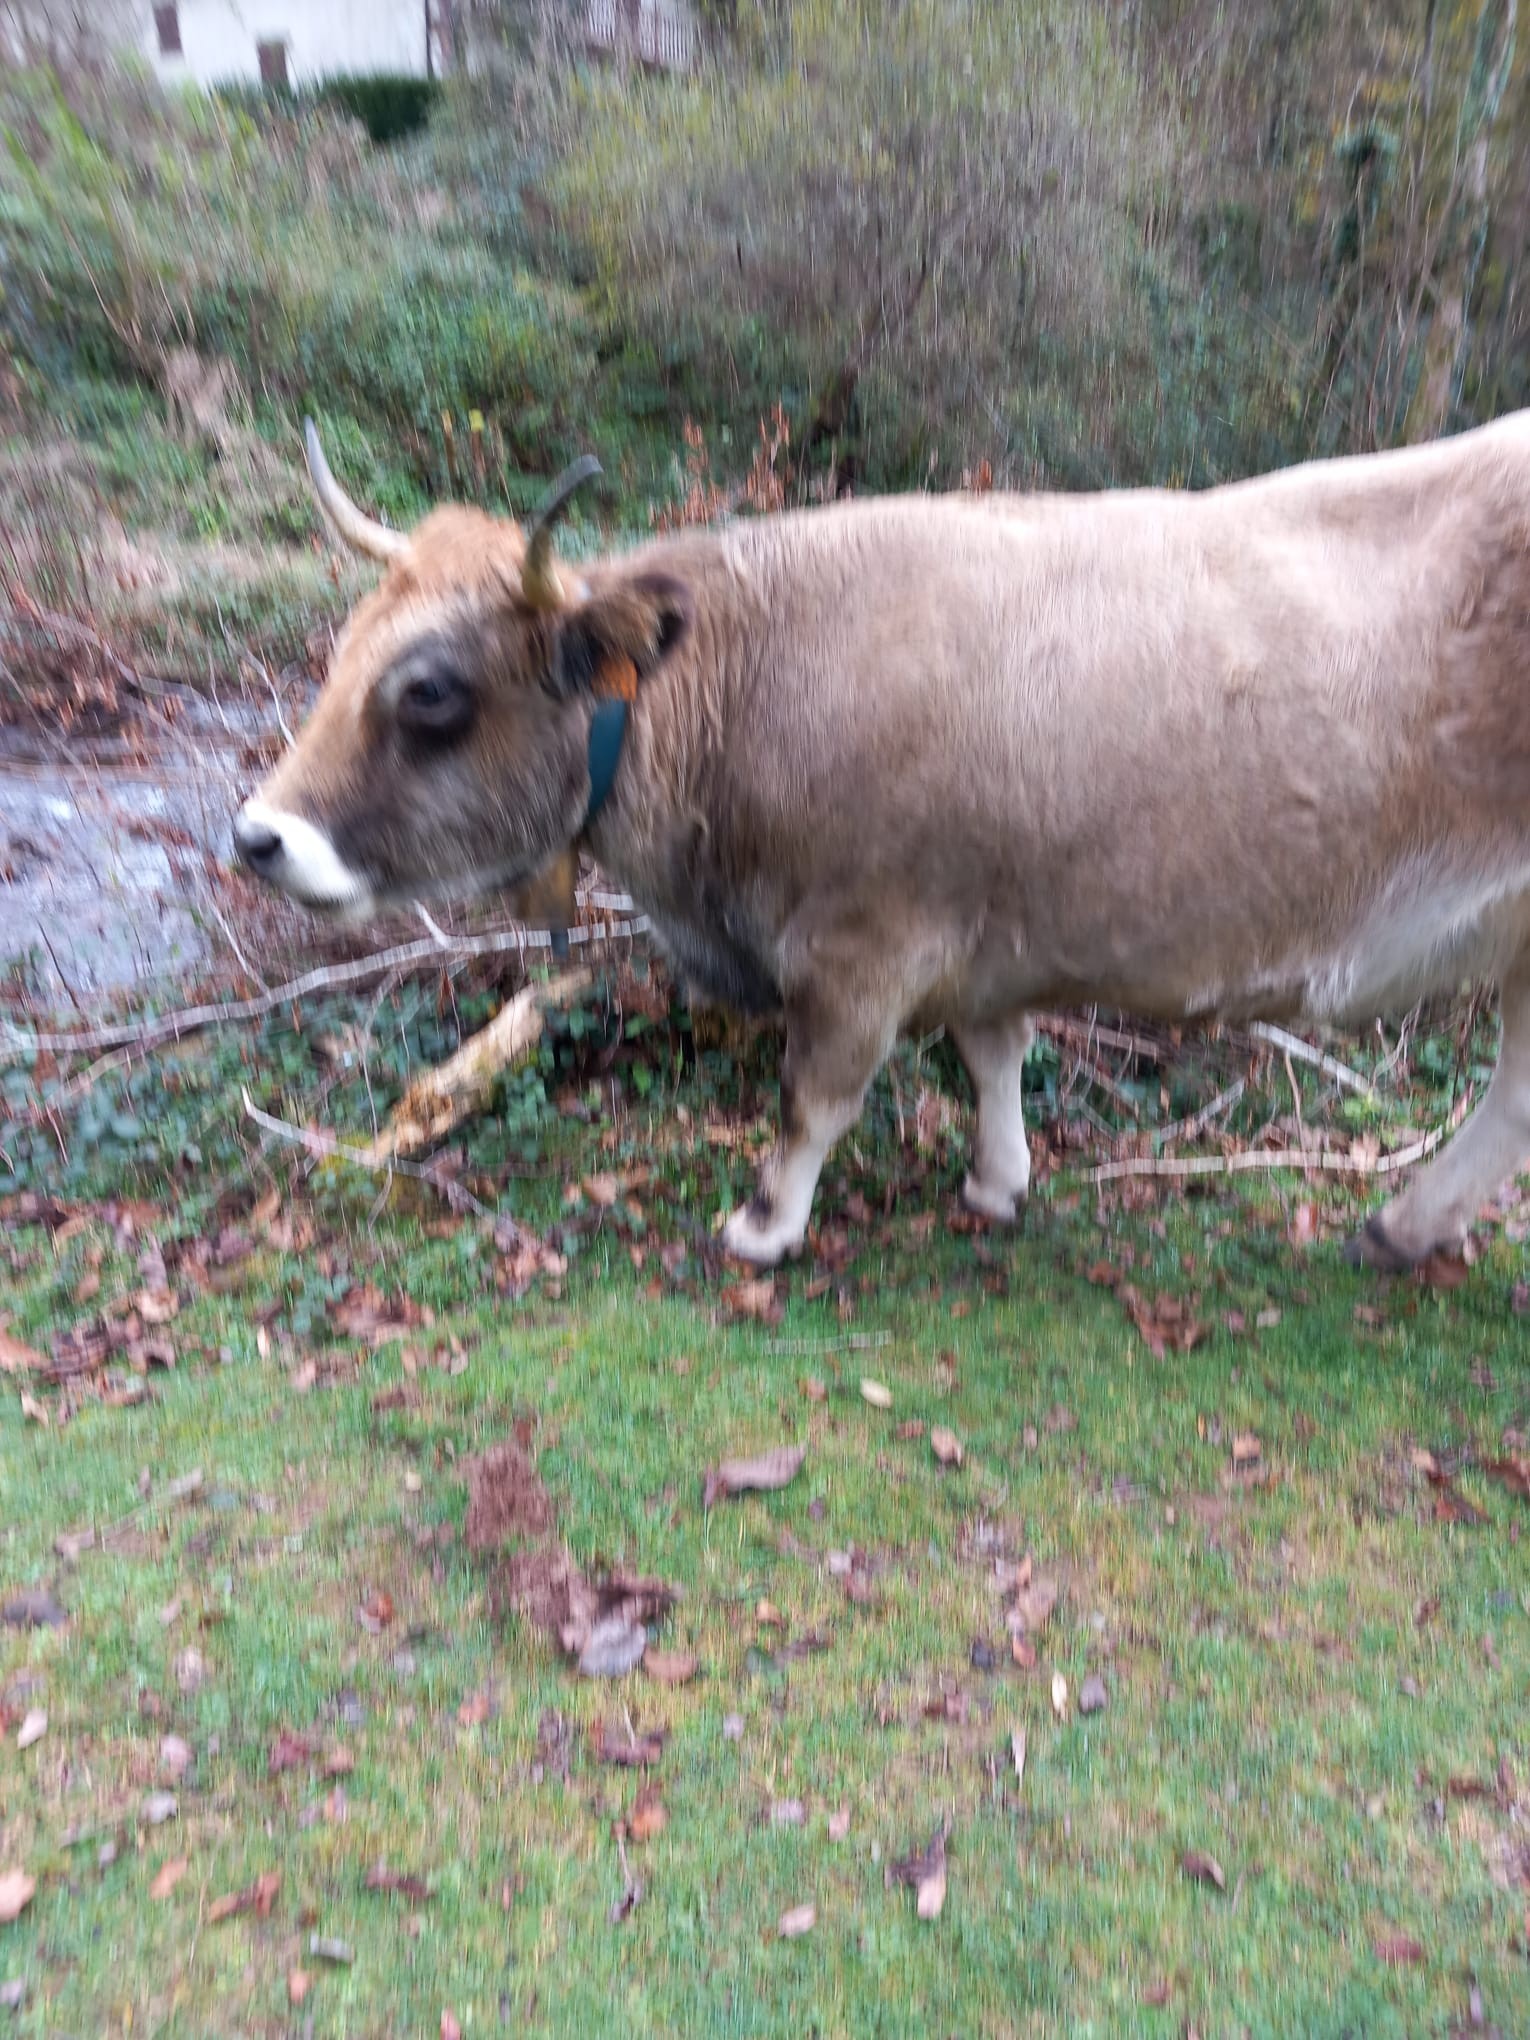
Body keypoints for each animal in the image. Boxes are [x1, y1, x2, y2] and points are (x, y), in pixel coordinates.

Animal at [236, 422, 1530, 1264]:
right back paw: (1405, 1227)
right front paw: (998, 1184)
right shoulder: (982, 929)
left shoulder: (860, 944)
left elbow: (816, 1094)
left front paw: (764, 1227)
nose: (257, 836)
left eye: (430, 694)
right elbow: (994, 1052)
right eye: (347, 647)